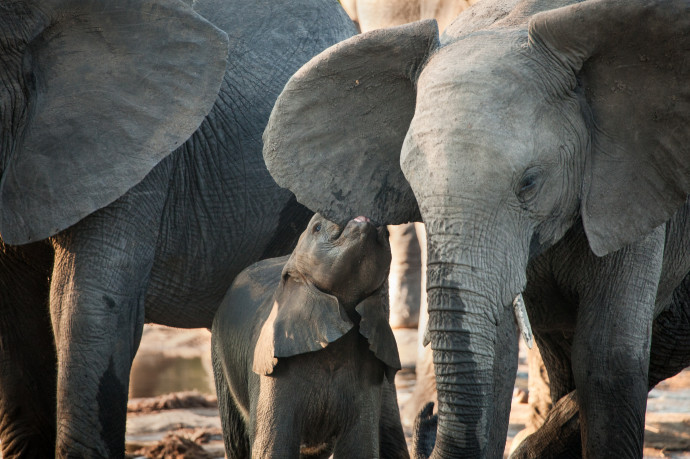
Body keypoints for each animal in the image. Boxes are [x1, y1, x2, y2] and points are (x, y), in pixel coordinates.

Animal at [210, 214, 408, 458]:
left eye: (387, 234)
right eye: (317, 227)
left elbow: (359, 448)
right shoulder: (271, 370)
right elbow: (273, 448)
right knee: (237, 440)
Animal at [260, 0, 688, 456]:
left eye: (529, 182)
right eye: (411, 183)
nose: (429, 415)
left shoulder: (628, 184)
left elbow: (608, 362)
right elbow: (497, 363)